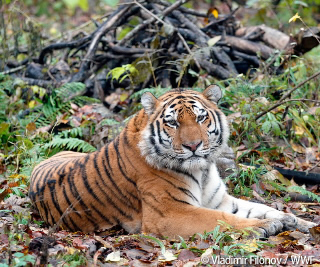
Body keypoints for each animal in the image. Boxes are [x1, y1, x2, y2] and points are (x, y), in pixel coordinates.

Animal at [29, 86, 316, 239]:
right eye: (173, 123)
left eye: (200, 118)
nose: (193, 146)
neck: (202, 170)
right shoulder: (170, 213)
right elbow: (222, 219)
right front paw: (265, 227)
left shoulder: (220, 200)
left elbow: (264, 208)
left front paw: (301, 223)